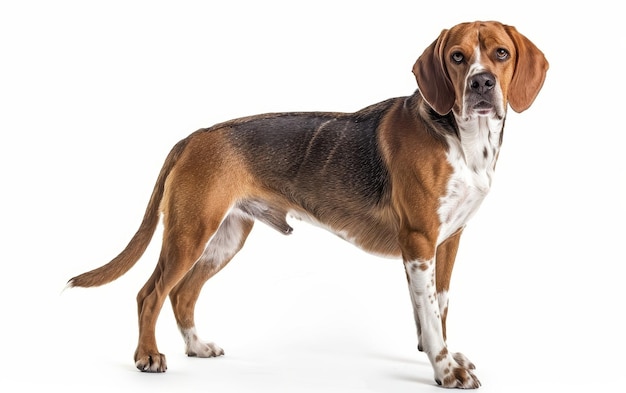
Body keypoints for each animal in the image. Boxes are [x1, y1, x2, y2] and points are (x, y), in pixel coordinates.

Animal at [69, 20, 544, 386]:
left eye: (501, 54)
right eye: (458, 58)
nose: (481, 83)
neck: (463, 139)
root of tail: (194, 137)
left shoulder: (447, 242)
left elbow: (437, 309)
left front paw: (440, 352)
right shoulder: (419, 241)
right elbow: (428, 313)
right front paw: (445, 370)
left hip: (225, 238)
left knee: (183, 294)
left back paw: (197, 346)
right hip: (190, 233)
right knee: (149, 293)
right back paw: (147, 356)